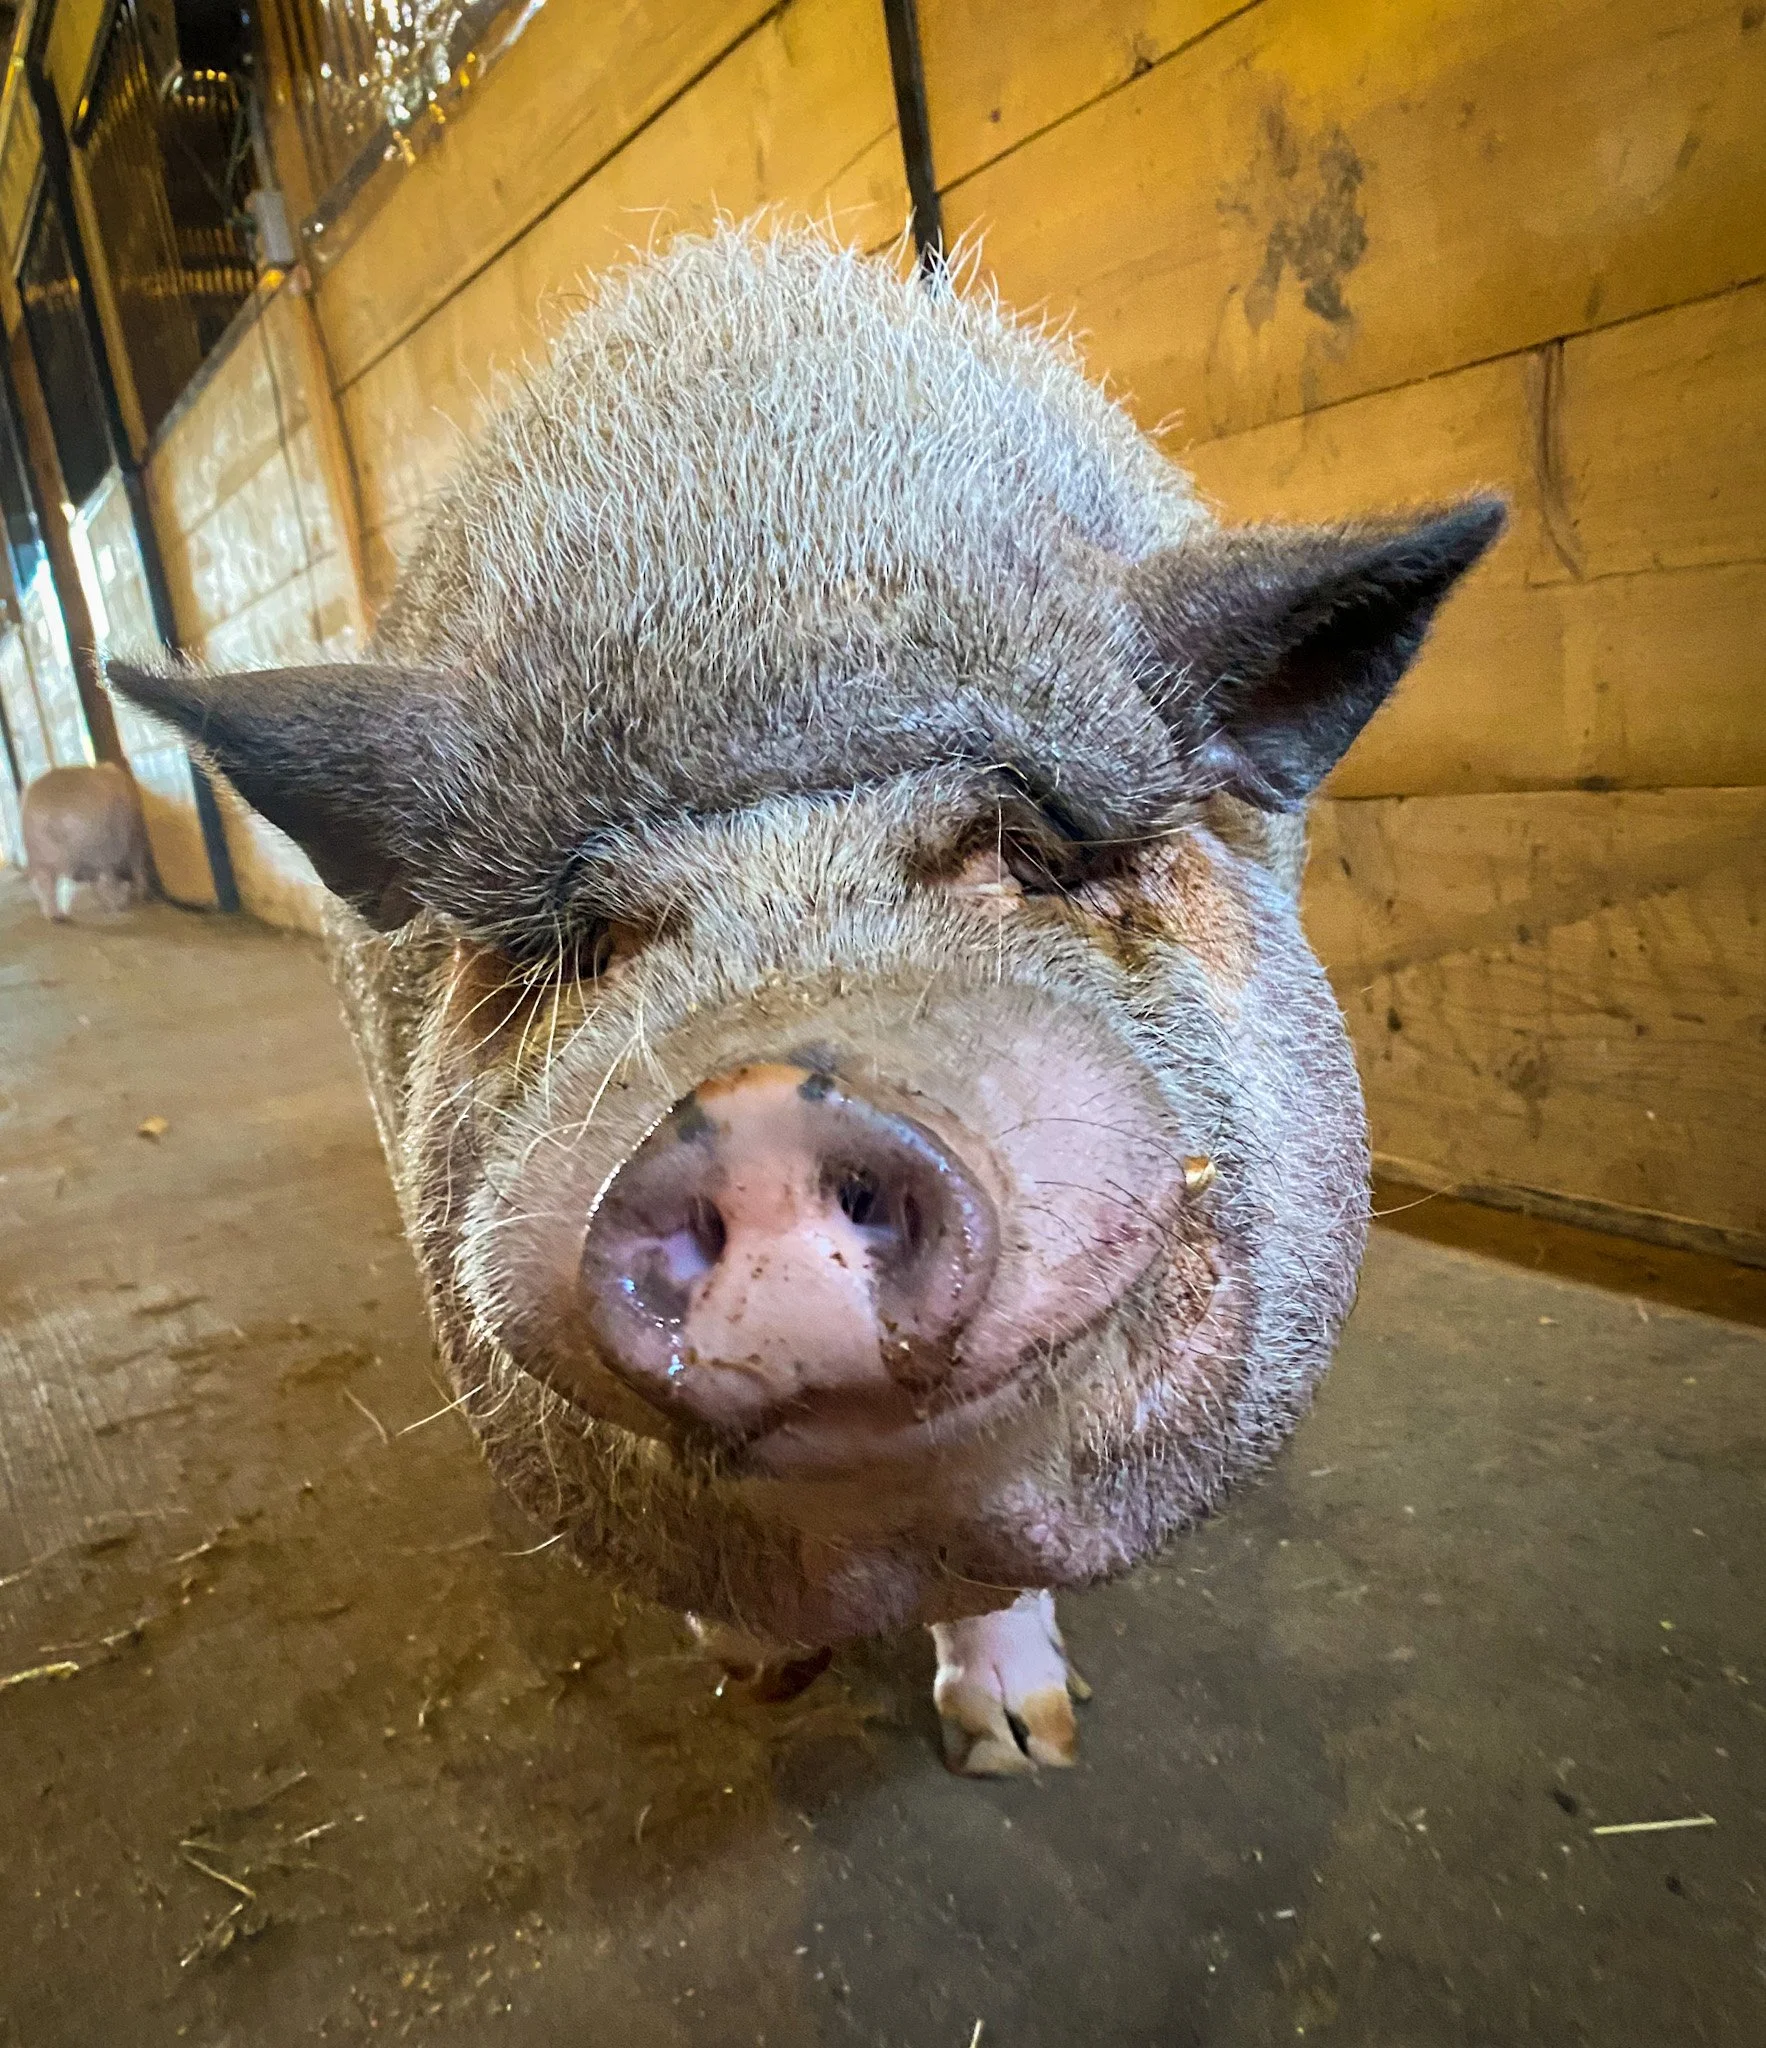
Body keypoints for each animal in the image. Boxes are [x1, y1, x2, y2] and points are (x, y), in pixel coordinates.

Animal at [20, 761, 152, 921]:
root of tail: (51, 816)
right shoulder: (134, 839)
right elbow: (136, 866)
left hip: (38, 853)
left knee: (44, 884)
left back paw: (55, 917)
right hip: (99, 847)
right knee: (104, 881)